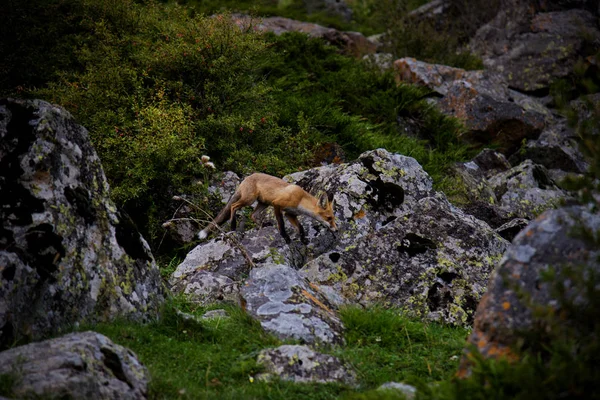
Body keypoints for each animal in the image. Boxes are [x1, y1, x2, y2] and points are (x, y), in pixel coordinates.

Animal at [198, 173, 336, 244]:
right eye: (329, 218)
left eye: (333, 218)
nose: (336, 229)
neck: (300, 199)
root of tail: (246, 178)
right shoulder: (277, 204)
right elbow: (281, 224)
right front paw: (285, 238)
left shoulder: (290, 214)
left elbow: (300, 228)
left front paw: (303, 239)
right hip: (250, 200)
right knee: (233, 206)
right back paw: (233, 226)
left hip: (263, 204)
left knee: (252, 215)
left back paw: (263, 225)